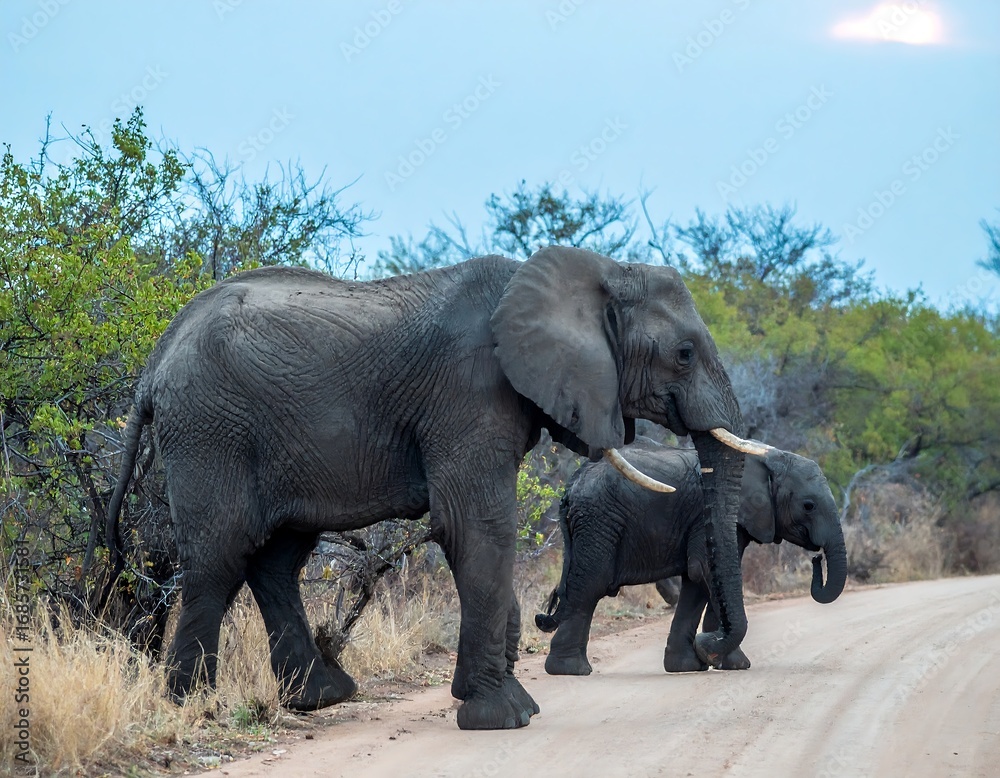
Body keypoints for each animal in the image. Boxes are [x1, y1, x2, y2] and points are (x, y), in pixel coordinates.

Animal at [105, 246, 759, 730]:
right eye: (683, 354)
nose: (710, 647)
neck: (588, 274)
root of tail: (155, 360)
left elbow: (473, 532)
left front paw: (491, 697)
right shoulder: (468, 392)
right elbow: (477, 525)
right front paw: (504, 716)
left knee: (276, 557)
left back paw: (323, 697)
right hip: (210, 430)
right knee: (220, 554)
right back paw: (194, 706)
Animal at [535, 436, 846, 676]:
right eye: (808, 505)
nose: (817, 559)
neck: (768, 455)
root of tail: (571, 486)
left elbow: (697, 583)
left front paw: (690, 664)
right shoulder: (710, 515)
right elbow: (705, 569)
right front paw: (727, 660)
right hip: (599, 521)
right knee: (590, 585)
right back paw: (571, 670)